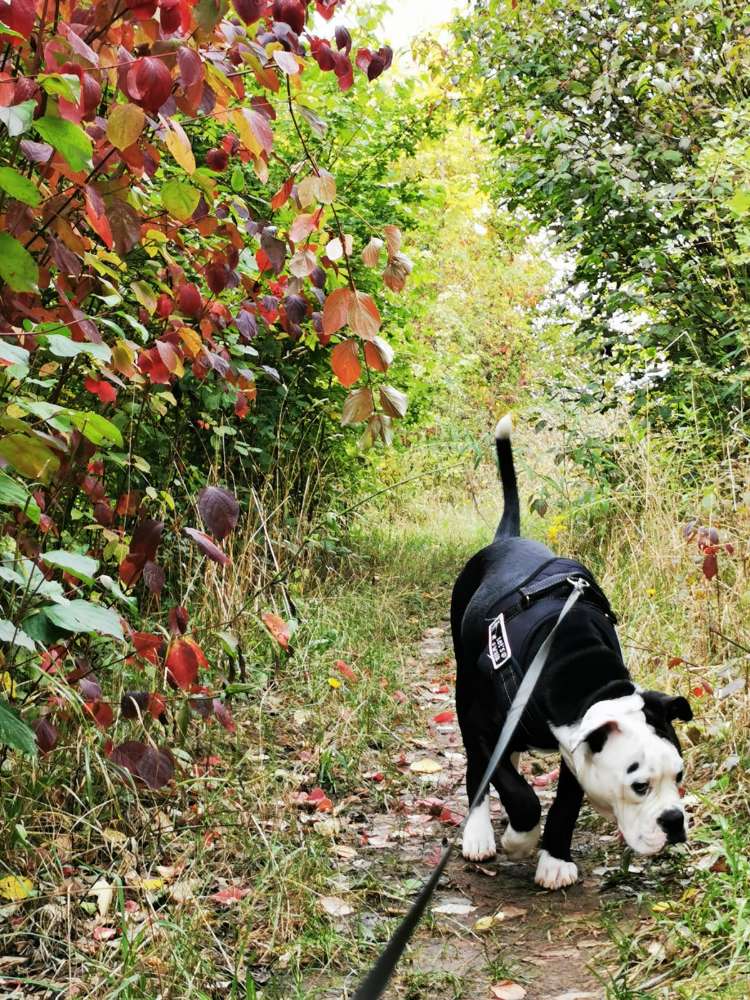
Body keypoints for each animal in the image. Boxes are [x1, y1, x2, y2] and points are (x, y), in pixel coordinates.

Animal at [452, 414, 692, 892]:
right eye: (639, 785)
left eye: (679, 775)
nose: (675, 821)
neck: (577, 668)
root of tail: (507, 540)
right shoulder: (483, 725)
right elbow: (518, 792)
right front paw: (520, 839)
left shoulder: (575, 748)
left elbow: (564, 805)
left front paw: (554, 858)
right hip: (463, 690)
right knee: (479, 771)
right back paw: (479, 833)